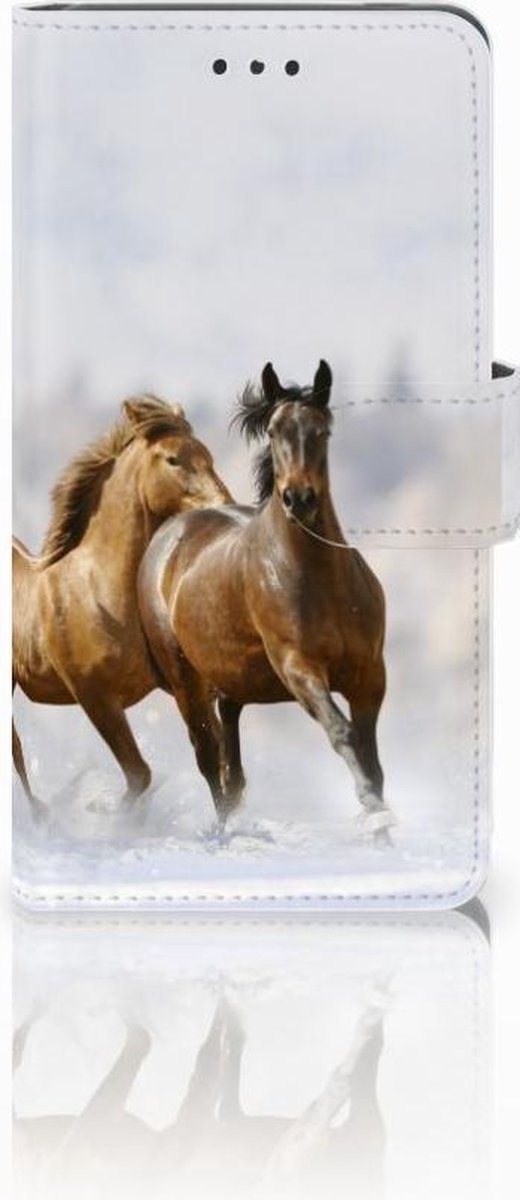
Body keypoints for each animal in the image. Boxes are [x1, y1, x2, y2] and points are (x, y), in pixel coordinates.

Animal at [12, 395, 231, 811]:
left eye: (208, 454)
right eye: (173, 459)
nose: (223, 504)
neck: (103, 592)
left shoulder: (184, 685)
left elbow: (215, 759)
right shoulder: (95, 697)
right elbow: (139, 775)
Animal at [138, 361, 393, 833]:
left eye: (322, 430)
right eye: (273, 431)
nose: (299, 498)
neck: (320, 580)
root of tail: (169, 533)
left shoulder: (369, 675)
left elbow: (371, 757)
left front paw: (382, 828)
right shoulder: (299, 669)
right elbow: (342, 733)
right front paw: (372, 809)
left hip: (231, 682)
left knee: (231, 764)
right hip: (186, 682)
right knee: (209, 759)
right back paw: (222, 833)